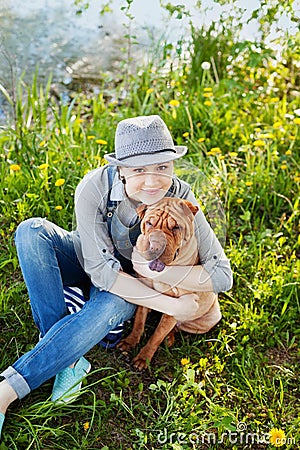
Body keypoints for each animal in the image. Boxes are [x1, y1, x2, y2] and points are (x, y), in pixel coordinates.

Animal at [118, 197, 221, 370]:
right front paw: (130, 341)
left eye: (176, 227)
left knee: (177, 327)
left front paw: (143, 358)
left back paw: (169, 338)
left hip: (210, 317)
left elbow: (157, 335)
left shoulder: (176, 307)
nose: (155, 246)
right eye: (149, 223)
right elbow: (139, 321)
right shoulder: (144, 291)